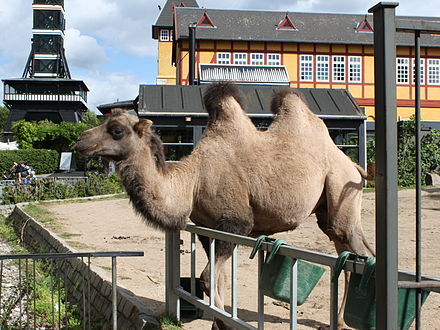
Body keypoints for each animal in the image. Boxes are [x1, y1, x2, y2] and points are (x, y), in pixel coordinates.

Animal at [75, 84, 374, 328]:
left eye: (116, 130)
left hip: (340, 186)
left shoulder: (236, 224)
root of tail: (355, 166)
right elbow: (217, 280)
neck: (192, 182)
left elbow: (208, 279)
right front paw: (219, 321)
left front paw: (225, 323)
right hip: (329, 208)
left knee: (357, 249)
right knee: (348, 253)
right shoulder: (207, 229)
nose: (80, 140)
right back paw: (340, 322)